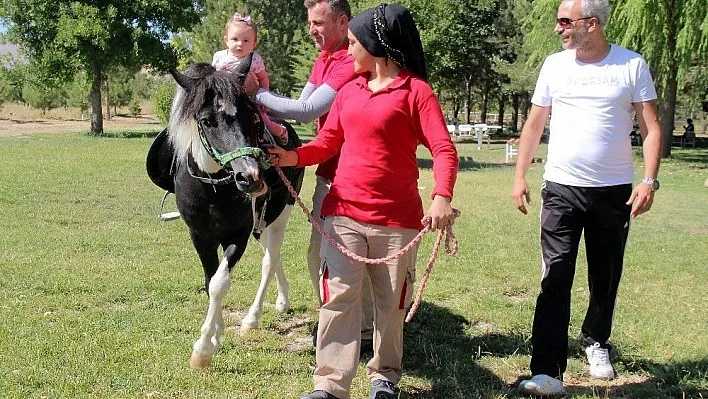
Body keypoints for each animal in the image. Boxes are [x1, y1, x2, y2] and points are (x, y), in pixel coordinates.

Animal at [148, 56, 302, 368]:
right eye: (207, 121)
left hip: (282, 215)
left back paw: (252, 318)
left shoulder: (237, 236)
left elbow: (220, 283)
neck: (213, 190)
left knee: (269, 261)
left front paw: (204, 348)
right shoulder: (200, 236)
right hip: (263, 224)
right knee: (273, 256)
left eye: (252, 117)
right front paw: (217, 334)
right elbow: (210, 281)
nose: (251, 177)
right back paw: (282, 301)